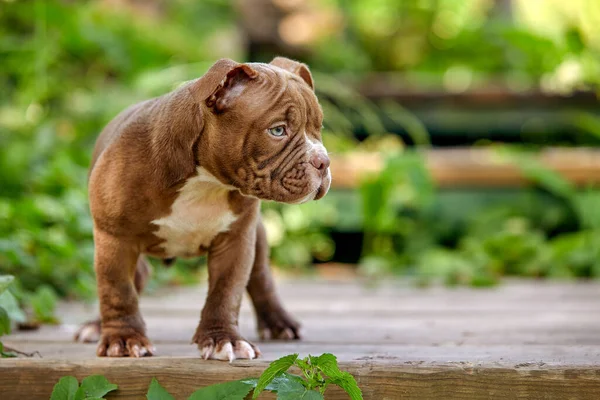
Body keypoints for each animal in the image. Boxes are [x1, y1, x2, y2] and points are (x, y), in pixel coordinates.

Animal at [74, 55, 330, 360]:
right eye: (278, 130)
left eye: (319, 129)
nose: (324, 161)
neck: (205, 182)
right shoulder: (115, 238)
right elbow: (117, 289)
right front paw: (123, 339)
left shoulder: (235, 241)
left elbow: (226, 292)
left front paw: (224, 339)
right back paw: (96, 326)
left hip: (257, 235)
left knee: (261, 277)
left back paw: (279, 322)